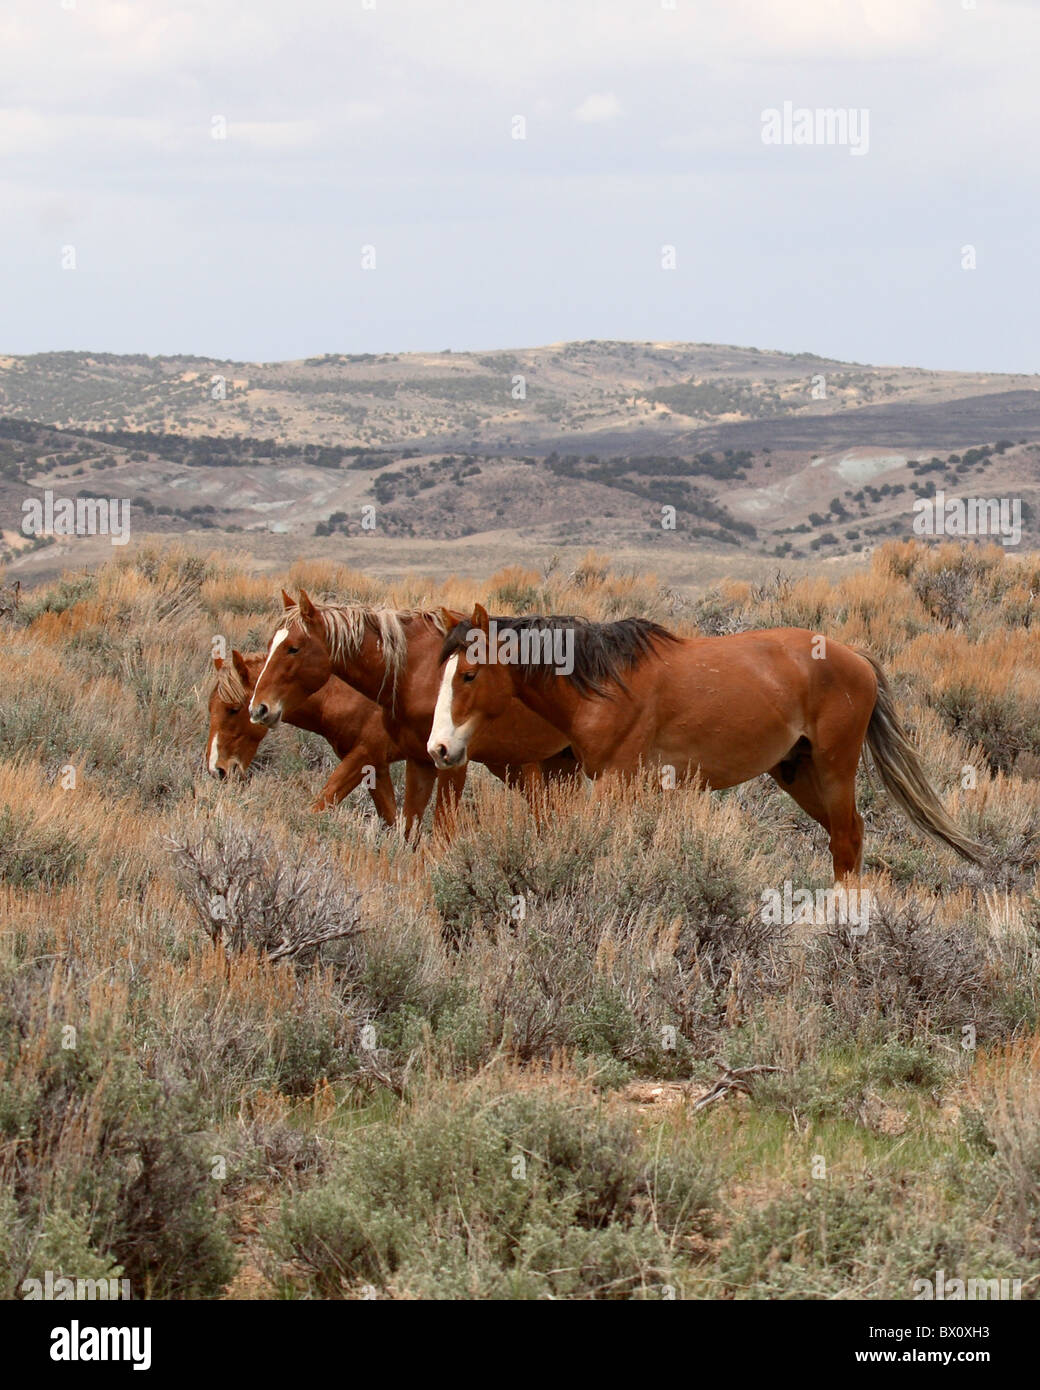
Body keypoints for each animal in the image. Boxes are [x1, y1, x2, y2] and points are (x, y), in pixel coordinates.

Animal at [247, 589, 581, 828]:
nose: (259, 708)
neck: (417, 672)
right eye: (270, 643)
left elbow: (442, 831)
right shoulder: (417, 761)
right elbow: (408, 831)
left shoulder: (451, 764)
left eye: (293, 648)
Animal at [425, 606, 989, 878]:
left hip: (834, 768)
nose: (439, 750)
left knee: (848, 837)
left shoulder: (616, 783)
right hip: (799, 773)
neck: (603, 686)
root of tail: (858, 659)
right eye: (443, 671)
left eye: (469, 674)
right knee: (844, 840)